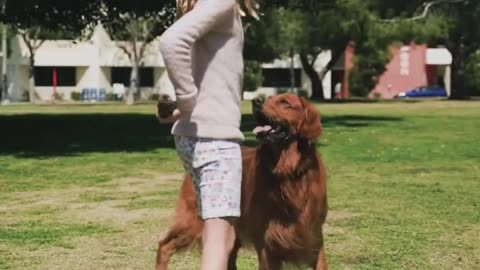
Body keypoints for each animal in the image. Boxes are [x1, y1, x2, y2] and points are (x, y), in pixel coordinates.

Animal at [156, 93, 328, 270]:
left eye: (285, 102)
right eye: (270, 98)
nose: (257, 100)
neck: (287, 173)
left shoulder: (313, 237)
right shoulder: (267, 243)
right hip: (193, 222)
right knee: (164, 245)